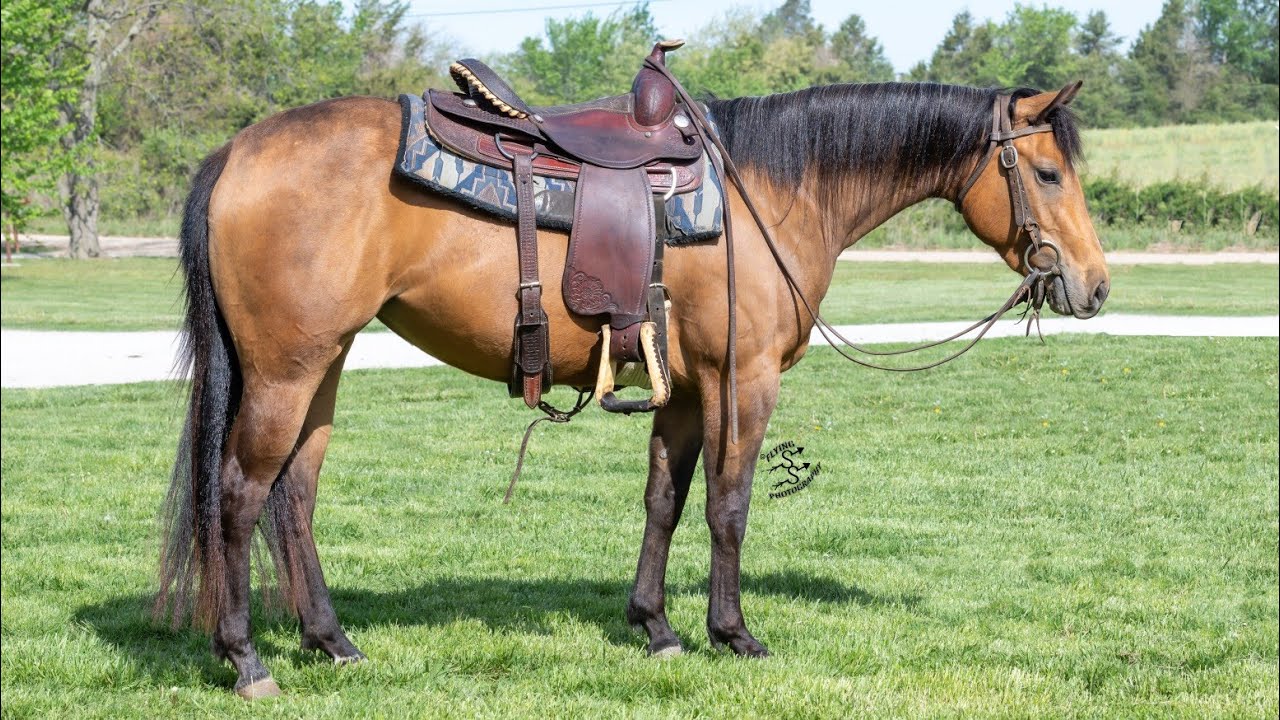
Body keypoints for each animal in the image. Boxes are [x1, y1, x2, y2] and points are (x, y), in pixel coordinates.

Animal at [153, 79, 1110, 698]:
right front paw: (735, 633)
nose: (1095, 287)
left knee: (294, 497)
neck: (768, 193)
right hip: (285, 370)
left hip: (324, 365)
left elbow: (665, 501)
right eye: (1049, 174)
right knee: (238, 494)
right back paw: (246, 659)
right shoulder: (740, 382)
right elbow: (729, 506)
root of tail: (237, 150)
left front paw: (655, 626)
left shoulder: (681, 390)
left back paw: (333, 643)